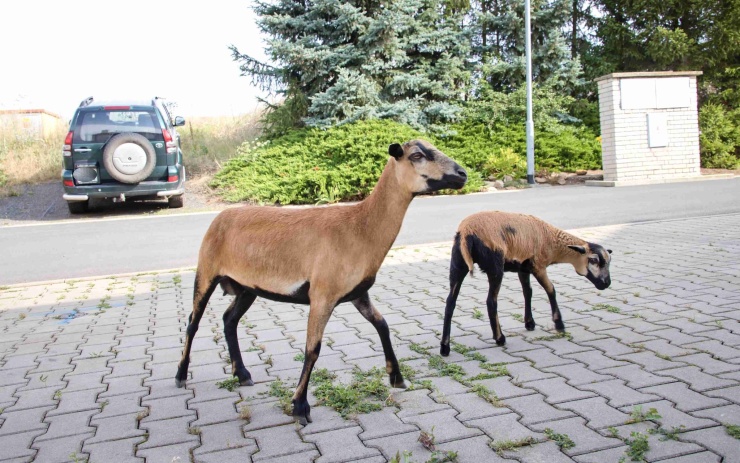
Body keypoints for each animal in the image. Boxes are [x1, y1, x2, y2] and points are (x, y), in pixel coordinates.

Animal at [178, 140, 468, 424]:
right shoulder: (321, 295)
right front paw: (300, 406)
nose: (462, 174)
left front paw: (396, 376)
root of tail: (219, 216)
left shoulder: (357, 293)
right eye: (417, 155)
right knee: (193, 323)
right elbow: (312, 349)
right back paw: (181, 375)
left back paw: (243, 374)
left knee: (229, 319)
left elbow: (382, 325)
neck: (362, 228)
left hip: (248, 287)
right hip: (207, 270)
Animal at [442, 212, 608, 358]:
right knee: (491, 301)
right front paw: (559, 324)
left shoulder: (523, 267)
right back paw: (499, 338)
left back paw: (445, 347)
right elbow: (551, 290)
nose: (607, 283)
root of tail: (467, 232)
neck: (552, 241)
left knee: (450, 302)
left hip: (458, 263)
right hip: (495, 265)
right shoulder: (538, 266)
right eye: (594, 260)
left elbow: (527, 292)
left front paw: (529, 323)